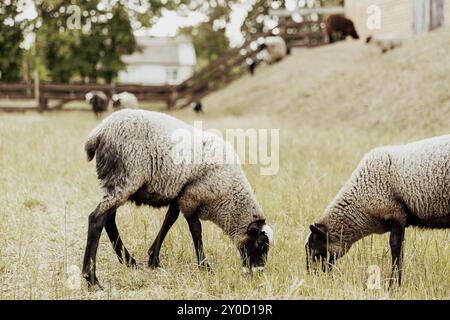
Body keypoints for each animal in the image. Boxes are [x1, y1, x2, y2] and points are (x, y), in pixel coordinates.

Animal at [81, 109, 274, 288]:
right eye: (260, 244)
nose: (259, 270)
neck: (228, 195)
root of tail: (99, 133)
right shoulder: (191, 198)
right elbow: (196, 230)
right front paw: (205, 267)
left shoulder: (180, 194)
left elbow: (169, 220)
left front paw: (153, 258)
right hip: (125, 178)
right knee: (97, 219)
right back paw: (92, 279)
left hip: (118, 183)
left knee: (109, 219)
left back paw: (129, 261)